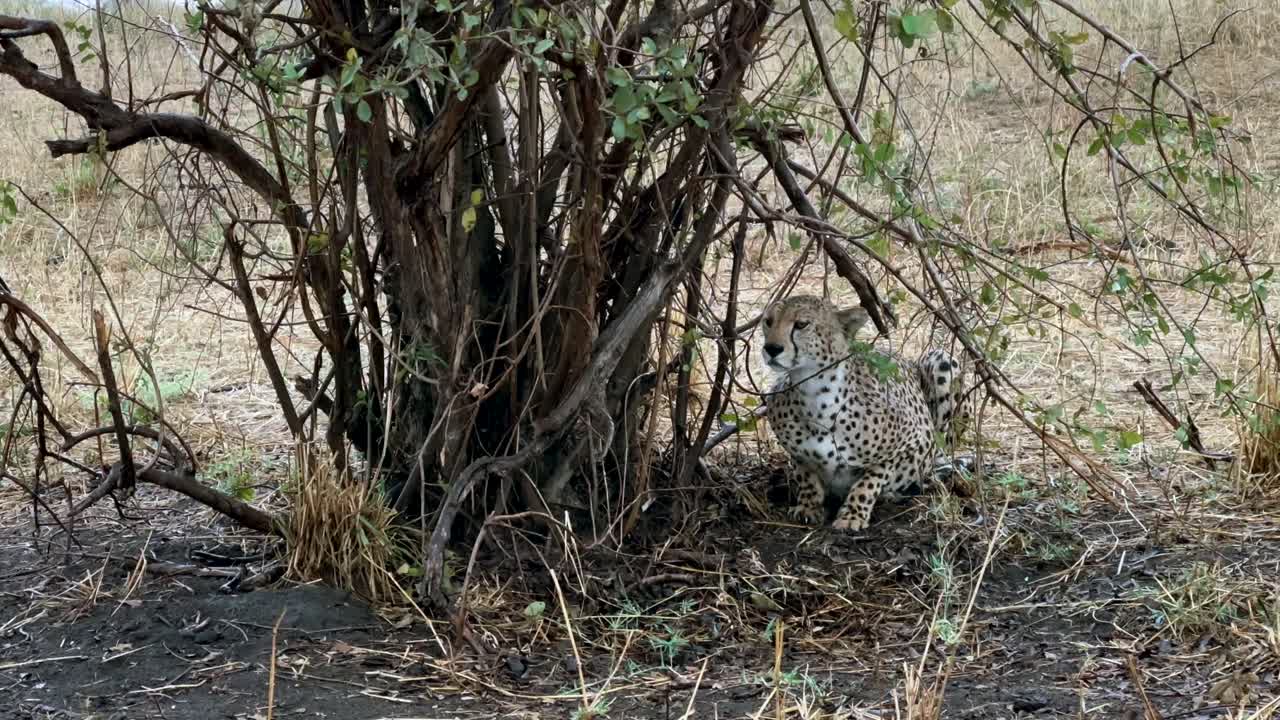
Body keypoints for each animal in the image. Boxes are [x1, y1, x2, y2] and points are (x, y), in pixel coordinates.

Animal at [760, 294, 967, 532]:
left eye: (802, 324)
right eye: (768, 321)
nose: (771, 348)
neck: (815, 396)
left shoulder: (915, 440)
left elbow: (870, 479)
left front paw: (853, 515)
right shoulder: (795, 451)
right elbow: (807, 475)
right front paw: (808, 506)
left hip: (942, 359)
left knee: (939, 458)